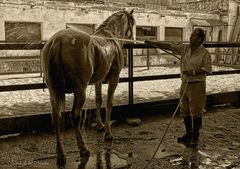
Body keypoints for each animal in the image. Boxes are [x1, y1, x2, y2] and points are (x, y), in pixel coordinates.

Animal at [41, 9, 135, 168]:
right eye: (132, 23)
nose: (133, 40)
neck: (110, 36)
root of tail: (57, 41)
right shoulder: (114, 79)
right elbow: (109, 103)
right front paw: (108, 133)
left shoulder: (98, 81)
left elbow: (98, 100)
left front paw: (100, 125)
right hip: (80, 90)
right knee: (75, 116)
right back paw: (83, 149)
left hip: (54, 91)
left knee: (56, 118)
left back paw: (61, 155)